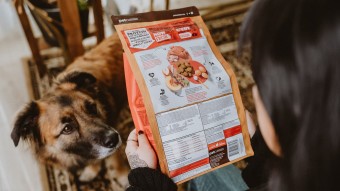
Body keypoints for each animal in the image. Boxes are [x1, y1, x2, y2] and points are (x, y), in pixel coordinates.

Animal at [10, 34, 130, 182]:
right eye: (67, 128)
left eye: (92, 108)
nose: (113, 138)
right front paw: (92, 171)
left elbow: (115, 160)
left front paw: (123, 176)